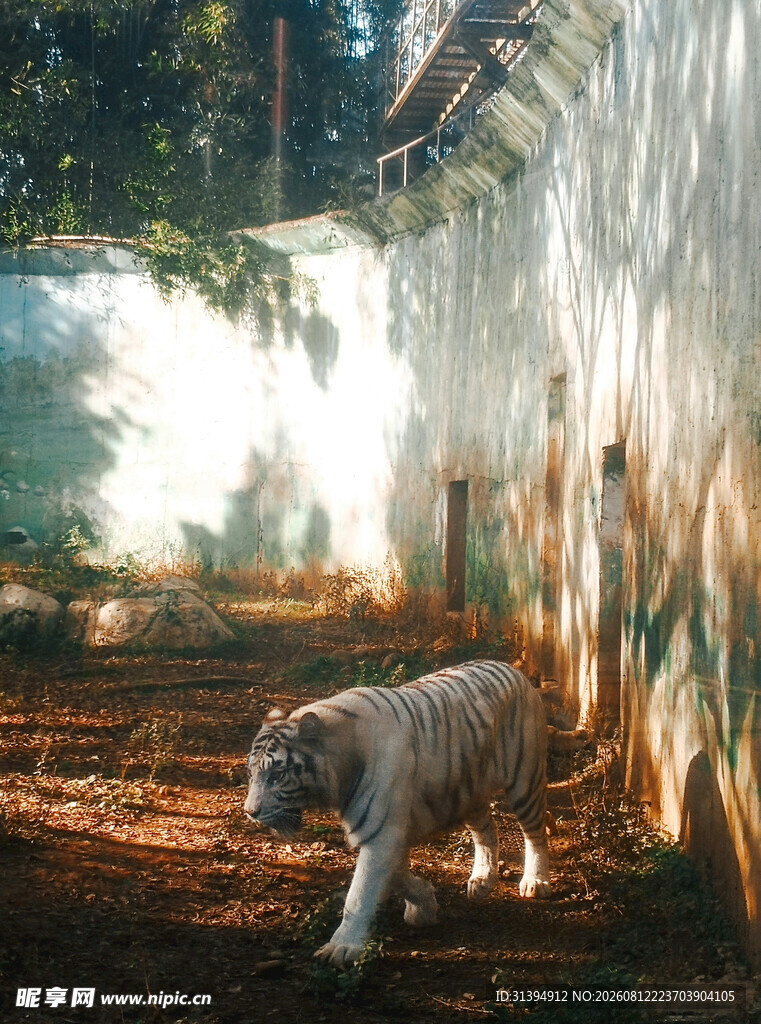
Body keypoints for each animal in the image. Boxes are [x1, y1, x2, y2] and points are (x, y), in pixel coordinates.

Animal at [244, 660, 555, 969]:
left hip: (524, 781)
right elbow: (395, 875)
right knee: (487, 831)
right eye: (251, 773)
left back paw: (535, 881)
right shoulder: (387, 829)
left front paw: (341, 948)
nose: (250, 812)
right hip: (469, 790)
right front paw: (424, 906)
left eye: (277, 775)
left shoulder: (381, 830)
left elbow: (360, 893)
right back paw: (482, 881)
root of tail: (512, 669)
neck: (341, 768)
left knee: (535, 834)